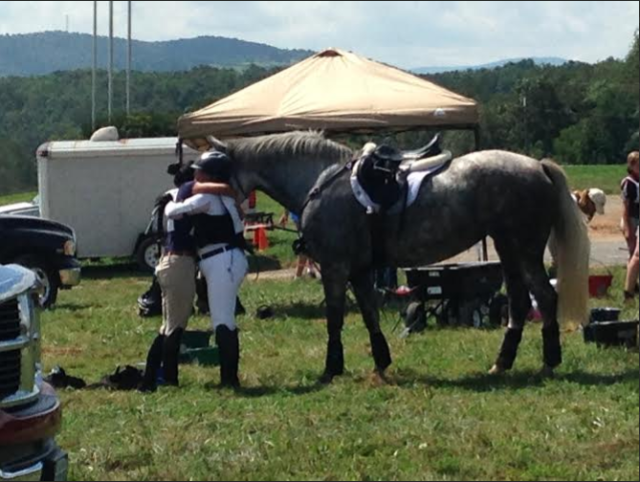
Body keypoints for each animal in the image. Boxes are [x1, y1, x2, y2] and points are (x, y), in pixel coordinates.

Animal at [211, 132, 592, 384]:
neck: (320, 181)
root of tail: (537, 166)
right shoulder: (359, 271)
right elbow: (369, 315)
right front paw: (381, 362)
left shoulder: (335, 268)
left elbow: (335, 319)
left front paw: (331, 368)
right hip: (508, 248)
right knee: (518, 302)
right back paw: (503, 363)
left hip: (524, 249)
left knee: (545, 297)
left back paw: (549, 362)